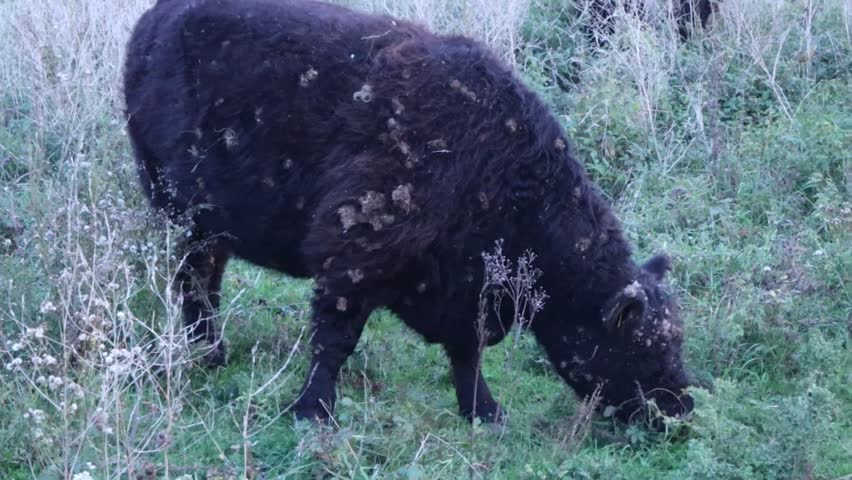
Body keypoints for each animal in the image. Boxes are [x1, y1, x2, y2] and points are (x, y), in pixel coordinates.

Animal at [123, 0, 694, 425]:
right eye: (648, 348)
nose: (681, 407)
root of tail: (153, 22)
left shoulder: (466, 293)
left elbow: (467, 353)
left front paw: (483, 411)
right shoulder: (351, 261)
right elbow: (334, 343)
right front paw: (313, 411)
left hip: (209, 227)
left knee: (203, 281)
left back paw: (209, 352)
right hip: (187, 216)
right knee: (195, 281)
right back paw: (207, 353)